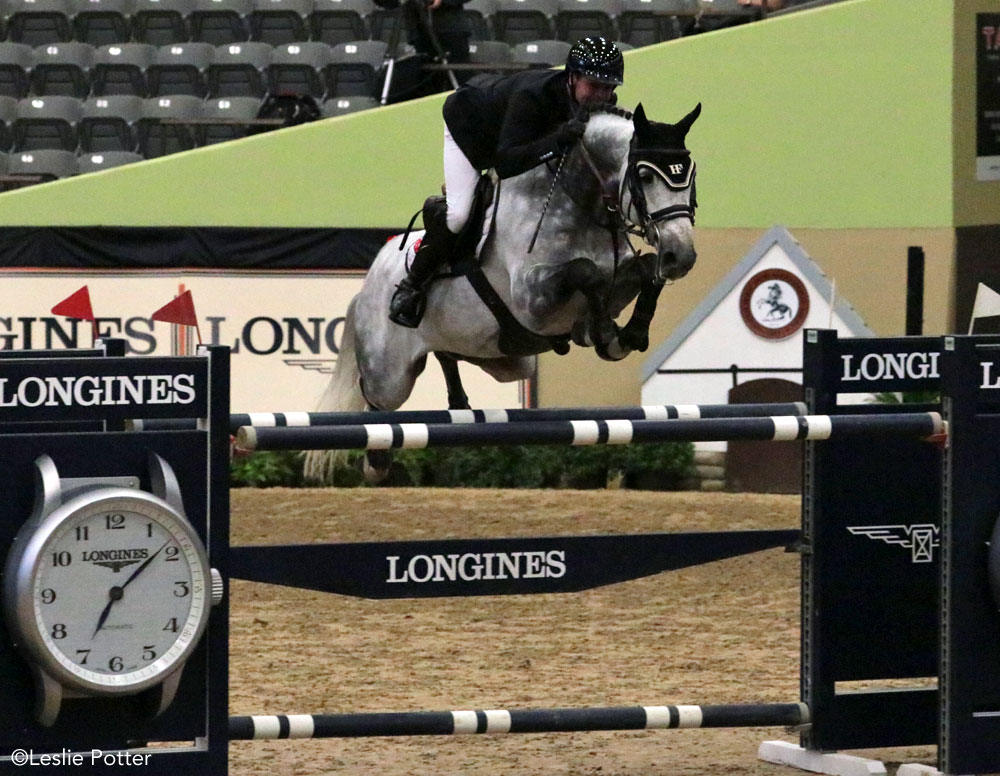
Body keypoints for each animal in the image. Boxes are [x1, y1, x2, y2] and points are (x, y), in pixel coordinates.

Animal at [300, 101, 700, 482]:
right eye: (645, 175)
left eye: (692, 175)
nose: (681, 255)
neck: (579, 203)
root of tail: (366, 287)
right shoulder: (532, 302)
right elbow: (585, 272)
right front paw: (601, 332)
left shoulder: (617, 282)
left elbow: (645, 271)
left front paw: (627, 333)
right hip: (390, 374)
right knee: (376, 402)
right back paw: (378, 459)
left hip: (508, 360)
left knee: (450, 355)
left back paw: (457, 398)